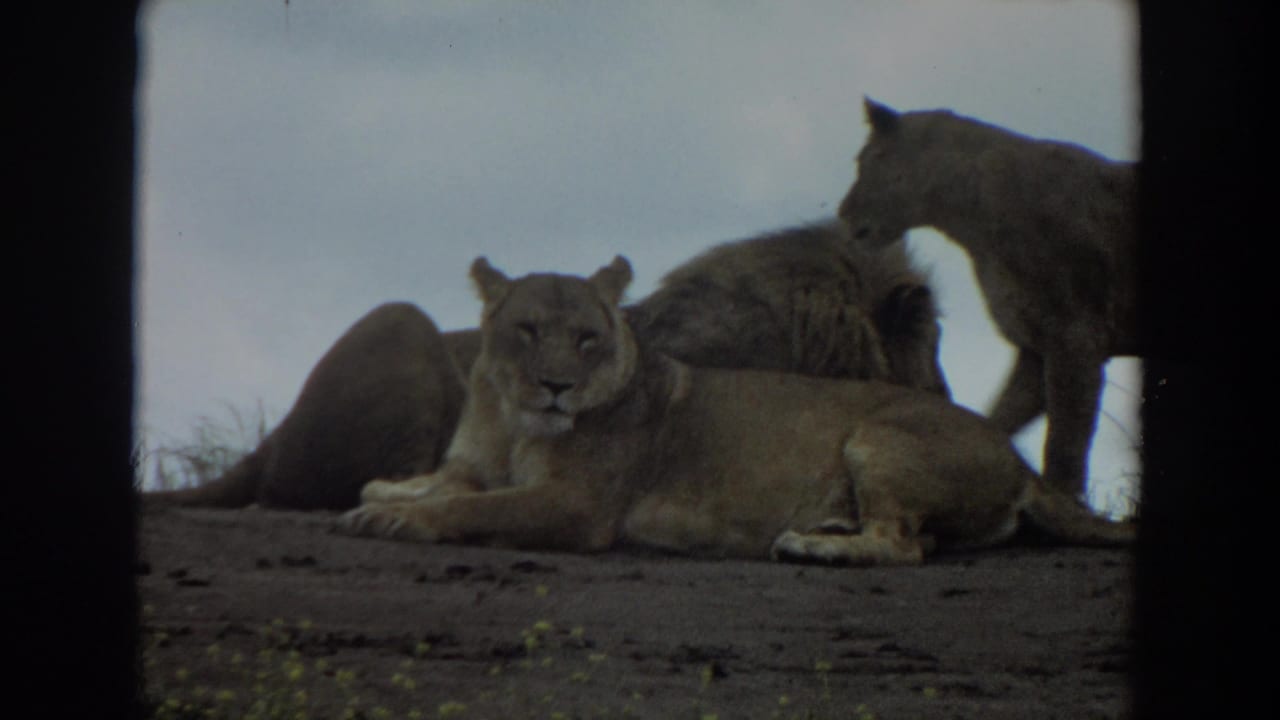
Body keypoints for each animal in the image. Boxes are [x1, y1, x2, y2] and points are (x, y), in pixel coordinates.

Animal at [339, 257, 1133, 566]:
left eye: (588, 339)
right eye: (528, 330)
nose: (557, 386)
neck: (510, 418)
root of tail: (1020, 465)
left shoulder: (579, 504)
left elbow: (476, 507)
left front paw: (399, 519)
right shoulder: (476, 462)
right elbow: (441, 483)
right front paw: (384, 494)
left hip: (877, 437)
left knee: (904, 544)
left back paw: (814, 546)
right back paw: (827, 527)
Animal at [838, 98, 1138, 499]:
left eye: (868, 159)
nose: (843, 214)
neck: (971, 219)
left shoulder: (1075, 340)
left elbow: (1064, 449)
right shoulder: (1034, 347)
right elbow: (998, 420)